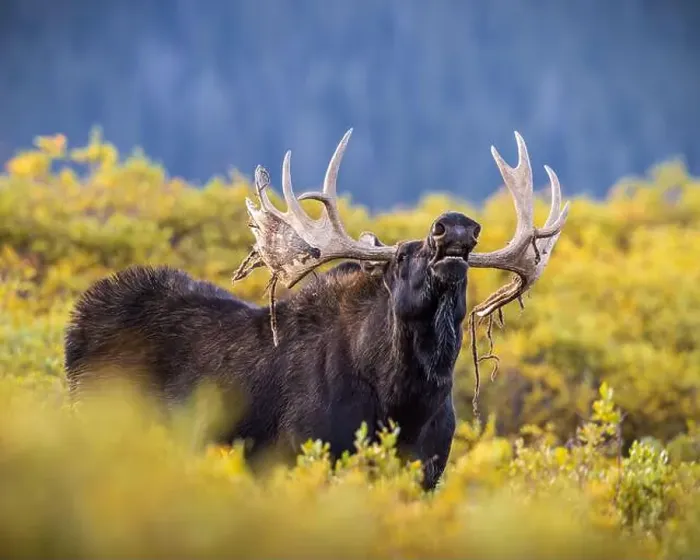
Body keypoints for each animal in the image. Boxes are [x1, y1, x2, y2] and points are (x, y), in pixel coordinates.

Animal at [64, 129, 569, 490]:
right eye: (401, 256)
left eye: (468, 259)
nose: (455, 225)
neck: (406, 401)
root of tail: (75, 326)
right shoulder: (298, 451)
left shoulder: (427, 470)